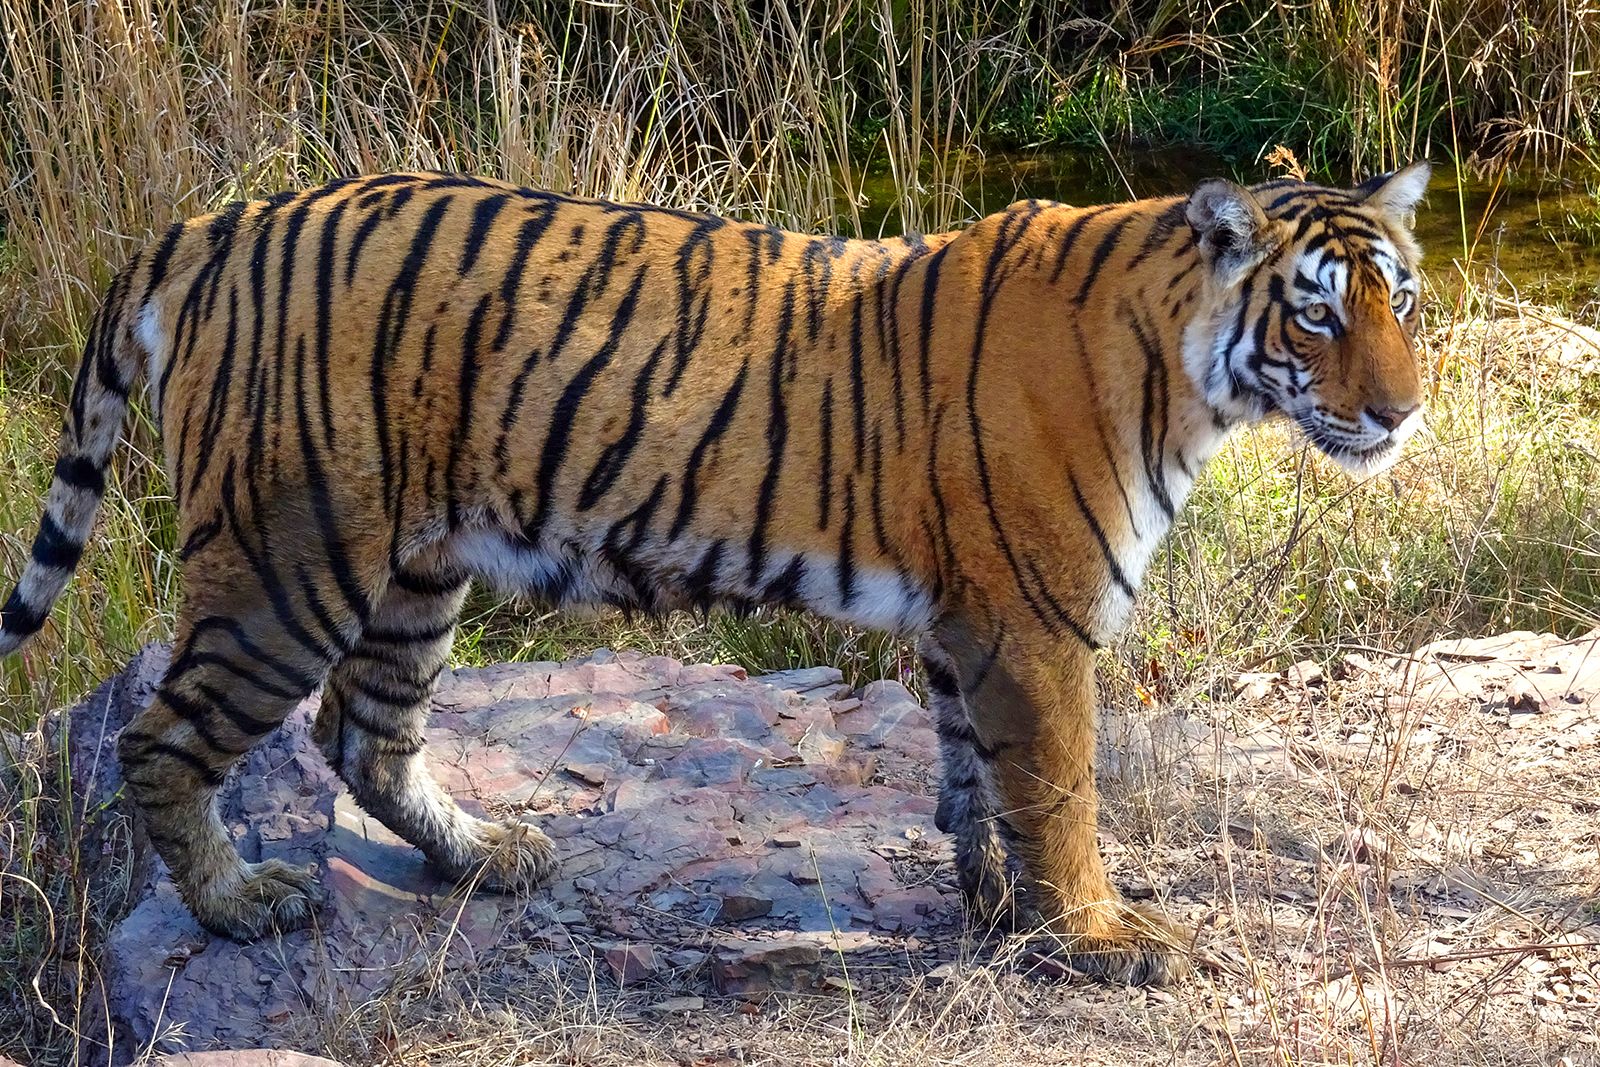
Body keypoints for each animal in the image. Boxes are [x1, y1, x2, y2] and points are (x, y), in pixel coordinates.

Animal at [0, 163, 1427, 991]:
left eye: (1401, 298)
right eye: (1316, 310)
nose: (1404, 413)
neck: (1192, 376)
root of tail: (218, 219)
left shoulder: (969, 617)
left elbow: (977, 778)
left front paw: (999, 915)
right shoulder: (1035, 617)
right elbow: (1061, 787)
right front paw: (1097, 935)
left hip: (417, 566)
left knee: (365, 730)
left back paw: (487, 853)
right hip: (289, 562)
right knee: (164, 736)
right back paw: (240, 901)